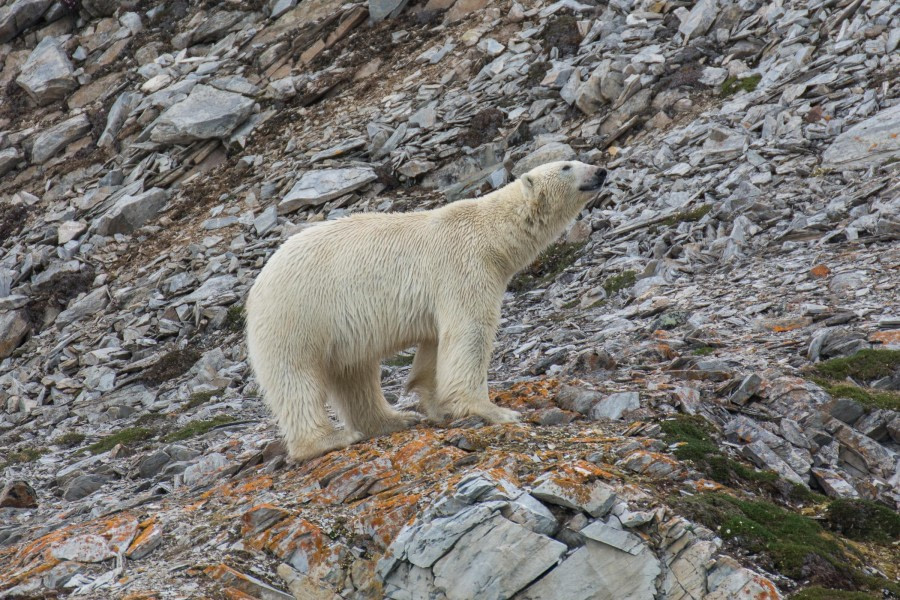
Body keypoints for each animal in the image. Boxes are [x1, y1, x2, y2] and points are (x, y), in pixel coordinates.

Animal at [248, 159, 604, 460]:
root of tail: (255, 289)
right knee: (296, 376)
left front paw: (436, 404)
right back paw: (328, 440)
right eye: (567, 166)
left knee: (355, 374)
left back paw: (394, 419)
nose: (600, 170)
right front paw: (493, 410)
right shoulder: (464, 266)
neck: (490, 234)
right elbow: (470, 332)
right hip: (299, 314)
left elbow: (435, 346)